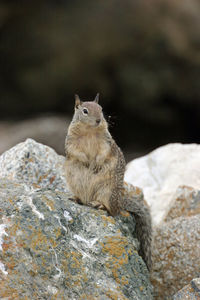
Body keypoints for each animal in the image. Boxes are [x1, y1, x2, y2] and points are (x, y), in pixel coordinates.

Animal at [64, 95, 152, 270]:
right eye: (85, 111)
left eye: (101, 109)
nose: (99, 120)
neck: (89, 131)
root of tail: (120, 202)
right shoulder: (70, 141)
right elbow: (75, 151)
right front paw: (86, 162)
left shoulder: (107, 142)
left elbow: (103, 153)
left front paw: (96, 164)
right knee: (84, 199)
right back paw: (76, 198)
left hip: (107, 191)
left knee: (112, 211)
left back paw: (99, 204)